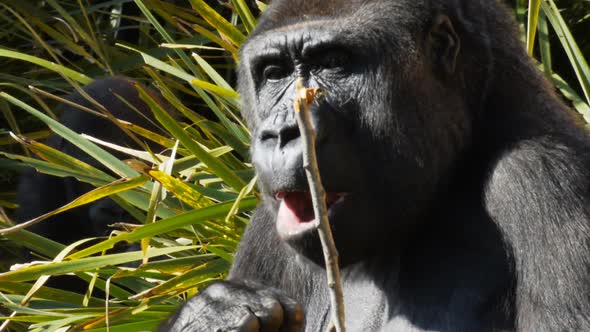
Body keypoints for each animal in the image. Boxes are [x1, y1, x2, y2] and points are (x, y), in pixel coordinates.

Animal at [162, 0, 590, 330]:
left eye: (333, 63)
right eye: (273, 73)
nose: (283, 131)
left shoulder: (546, 175)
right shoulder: (265, 229)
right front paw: (210, 316)